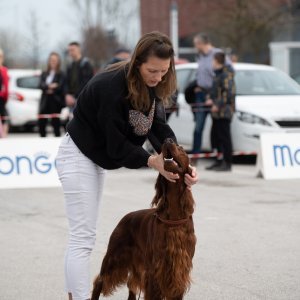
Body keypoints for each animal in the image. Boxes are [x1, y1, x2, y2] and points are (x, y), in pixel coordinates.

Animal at [90, 139, 196, 298]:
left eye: (182, 148)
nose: (168, 140)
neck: (174, 215)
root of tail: (126, 217)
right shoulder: (155, 271)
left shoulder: (179, 271)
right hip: (114, 257)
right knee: (99, 281)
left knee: (131, 285)